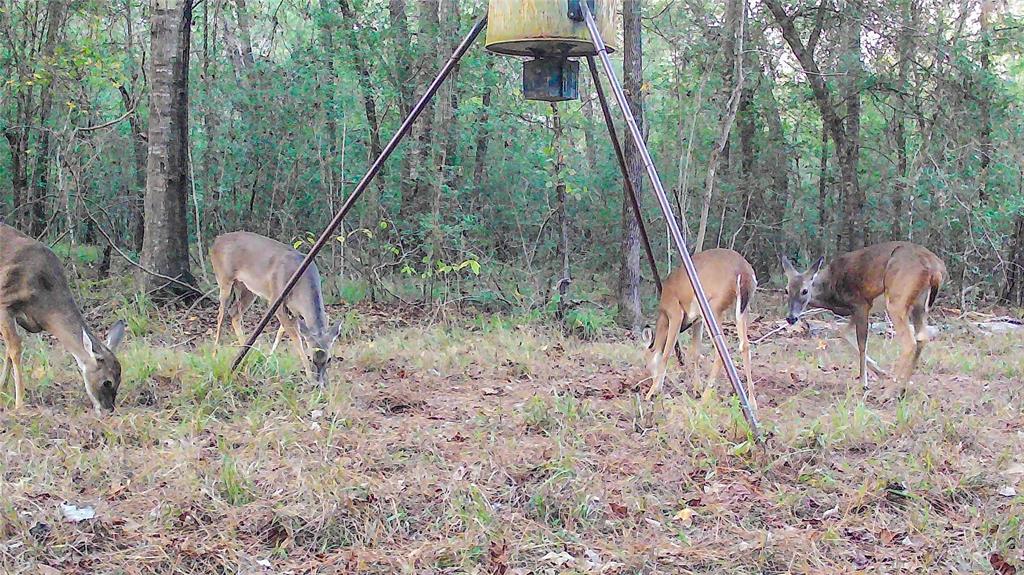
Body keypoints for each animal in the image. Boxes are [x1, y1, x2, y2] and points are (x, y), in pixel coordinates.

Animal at [1, 223, 128, 411]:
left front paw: (3, 391)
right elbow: (15, 348)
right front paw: (19, 404)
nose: (109, 409)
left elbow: (8, 351)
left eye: (120, 380)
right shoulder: (4, 301)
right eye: (107, 382)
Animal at [209, 229, 342, 384]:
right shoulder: (276, 299)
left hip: (248, 288)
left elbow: (281, 332)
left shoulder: (293, 310)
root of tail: (217, 240)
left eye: (329, 359)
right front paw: (309, 376)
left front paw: (268, 362)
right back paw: (215, 354)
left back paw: (246, 355)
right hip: (224, 279)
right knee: (221, 314)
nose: (320, 381)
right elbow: (296, 338)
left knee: (234, 313)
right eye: (310, 358)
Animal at [643, 248, 757, 405]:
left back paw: (705, 398)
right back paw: (752, 402)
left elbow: (666, 353)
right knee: (745, 345)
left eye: (646, 362)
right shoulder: (698, 320)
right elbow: (696, 352)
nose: (649, 379)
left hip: (714, 306)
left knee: (722, 347)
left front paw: (651, 393)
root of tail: (743, 270)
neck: (663, 314)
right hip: (741, 308)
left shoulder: (675, 312)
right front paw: (697, 389)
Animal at [778, 239, 946, 390]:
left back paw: (891, 388)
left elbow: (862, 343)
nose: (791, 318)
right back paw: (903, 385)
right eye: (786, 289)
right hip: (920, 304)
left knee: (909, 342)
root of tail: (935, 267)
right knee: (922, 338)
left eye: (804, 291)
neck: (831, 289)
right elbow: (843, 333)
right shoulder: (857, 309)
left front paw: (863, 382)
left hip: (897, 300)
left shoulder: (861, 303)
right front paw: (880, 371)